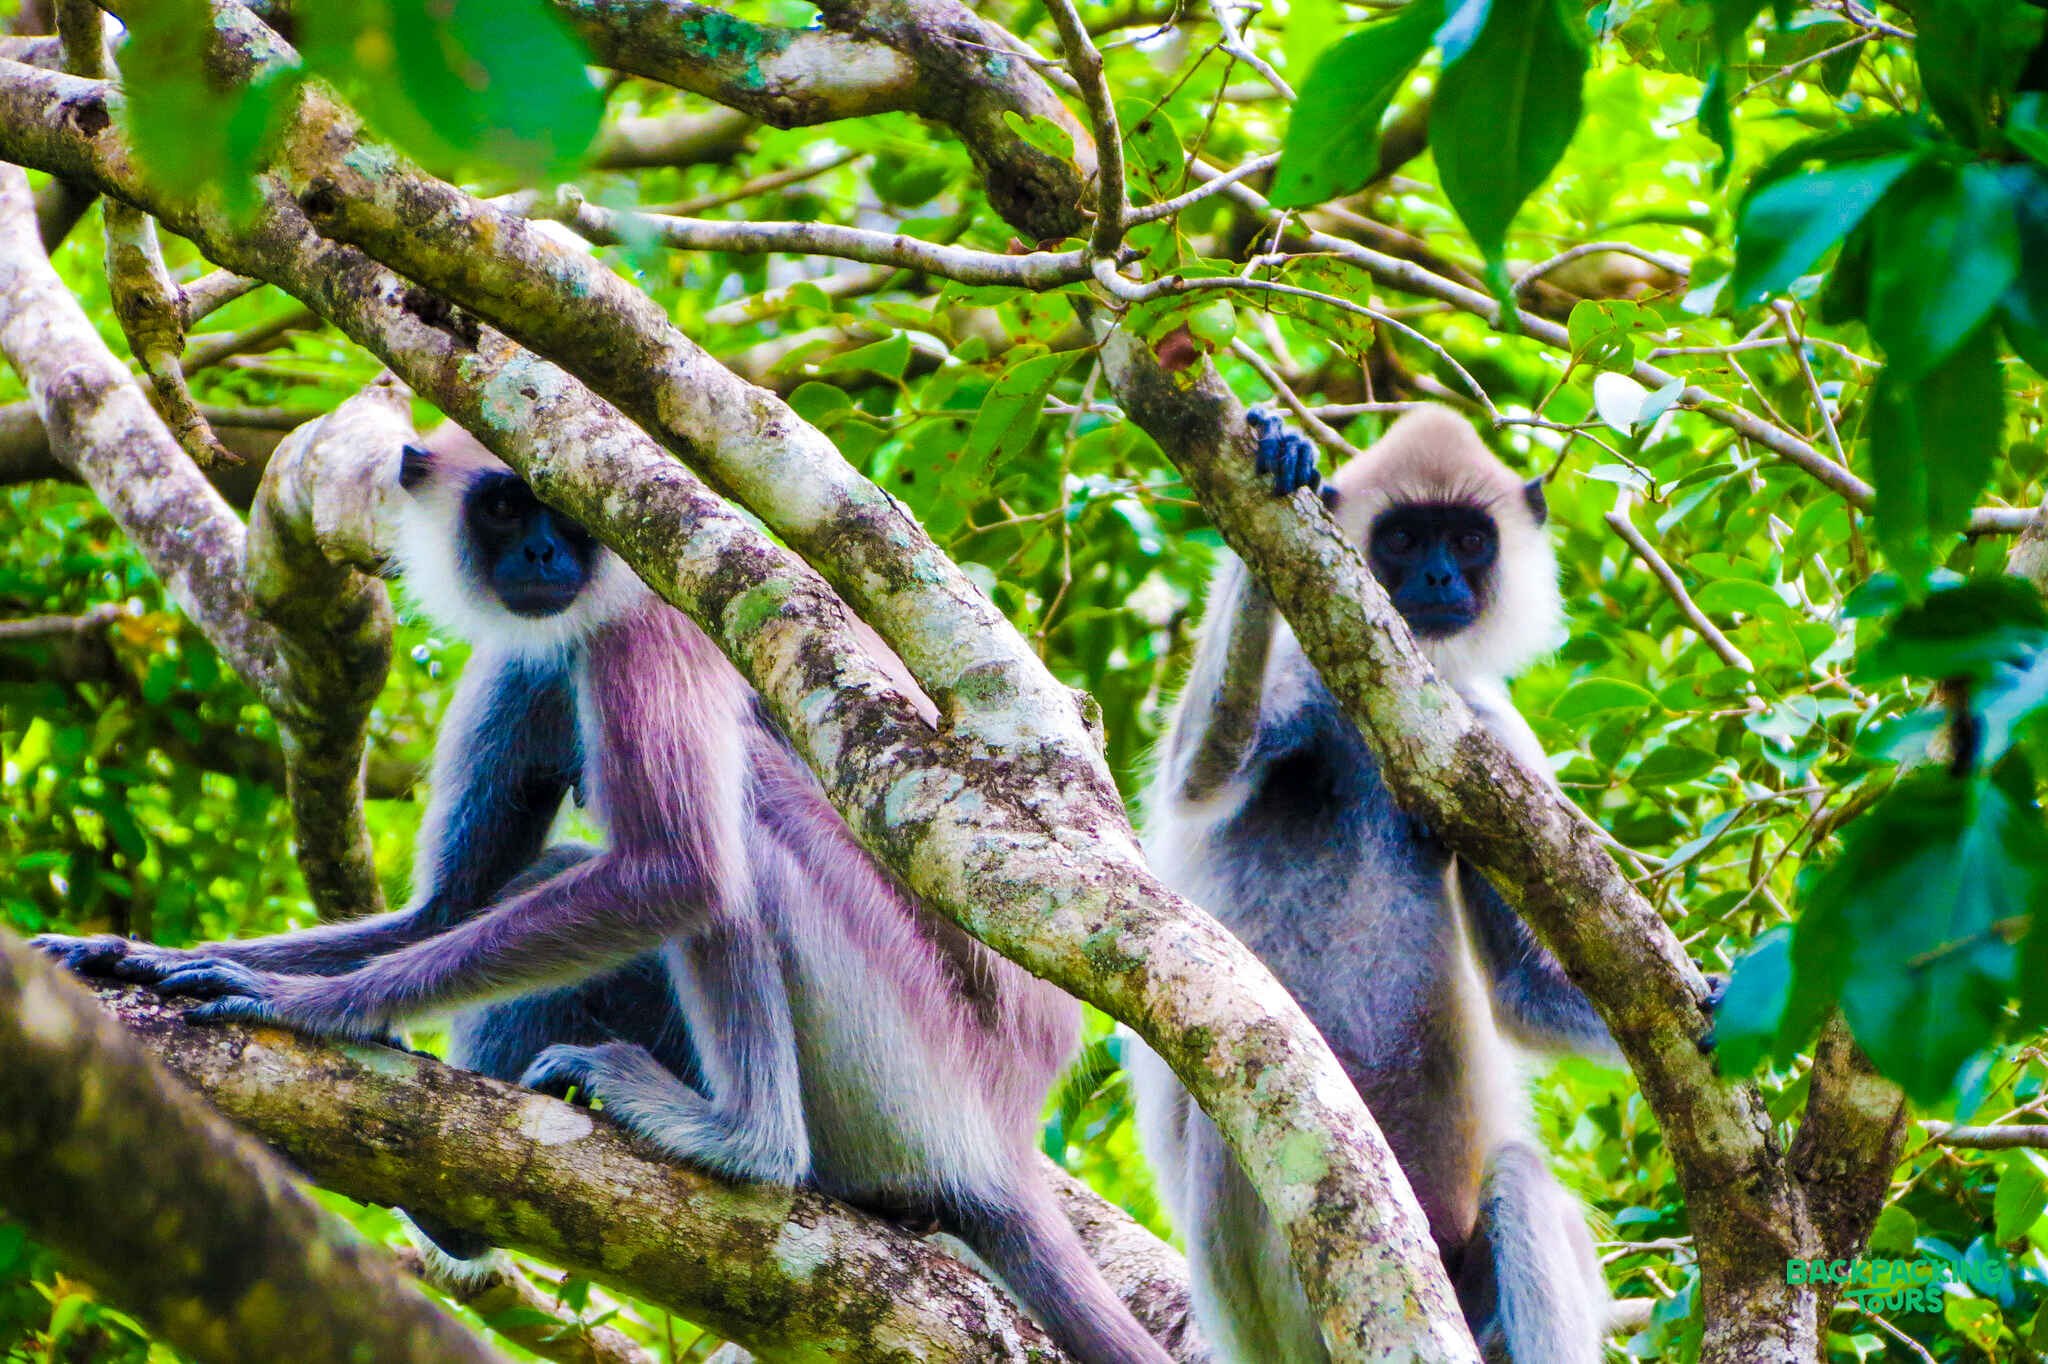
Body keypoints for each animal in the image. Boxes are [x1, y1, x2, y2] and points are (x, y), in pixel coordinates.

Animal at [37, 426, 1176, 1364]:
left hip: (908, 1070)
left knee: (734, 835)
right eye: (506, 507)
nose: (545, 556)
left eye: (565, 510)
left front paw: (306, 1007)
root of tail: (1008, 1130)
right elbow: (444, 909)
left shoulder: (648, 625)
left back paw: (746, 1145)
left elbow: (678, 870)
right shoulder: (533, 651)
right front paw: (130, 955)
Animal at [1127, 406, 1614, 1364]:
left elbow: (1525, 991)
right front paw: (1280, 465)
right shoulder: (1299, 682)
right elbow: (1200, 774)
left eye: (1468, 541)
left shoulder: (1493, 732)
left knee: (1517, 1176)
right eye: (1403, 540)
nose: (1435, 578)